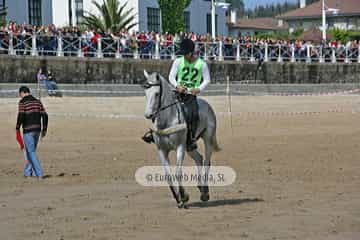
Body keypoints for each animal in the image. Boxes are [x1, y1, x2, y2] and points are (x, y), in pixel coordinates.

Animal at [143, 70, 221, 208]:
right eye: (145, 93)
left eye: (157, 94)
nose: (148, 115)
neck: (167, 121)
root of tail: (207, 105)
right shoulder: (162, 150)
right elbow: (168, 176)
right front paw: (178, 199)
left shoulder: (180, 147)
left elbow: (178, 172)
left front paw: (184, 196)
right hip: (190, 147)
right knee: (199, 159)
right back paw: (200, 187)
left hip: (208, 139)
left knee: (207, 161)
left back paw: (205, 193)